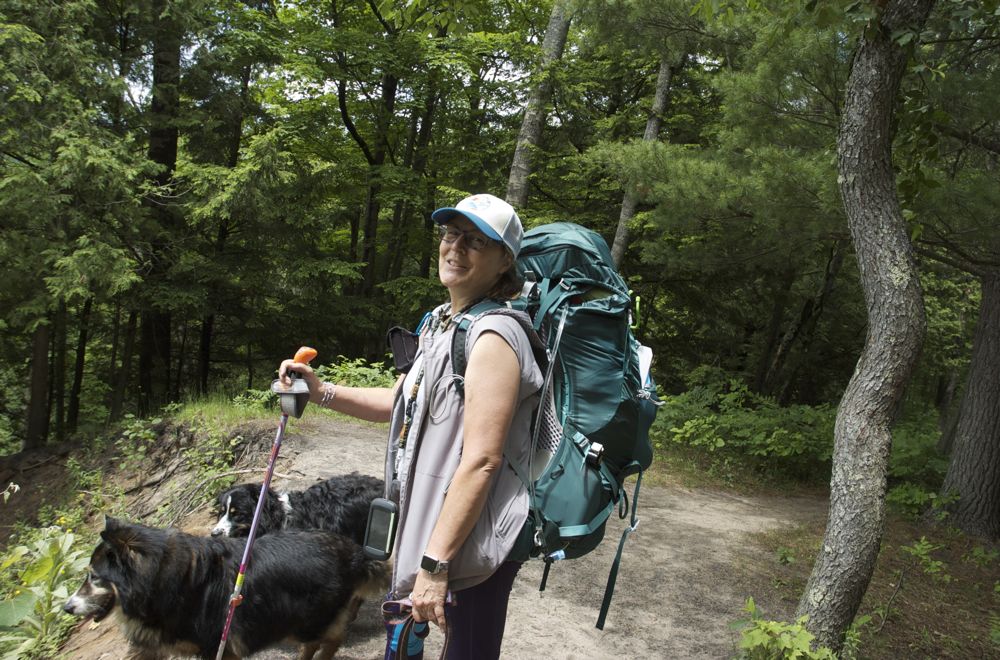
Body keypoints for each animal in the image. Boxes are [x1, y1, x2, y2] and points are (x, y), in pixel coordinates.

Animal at [64, 520, 388, 656]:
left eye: (94, 576)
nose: (67, 607)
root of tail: (354, 552)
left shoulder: (215, 645)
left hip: (308, 619)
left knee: (329, 639)